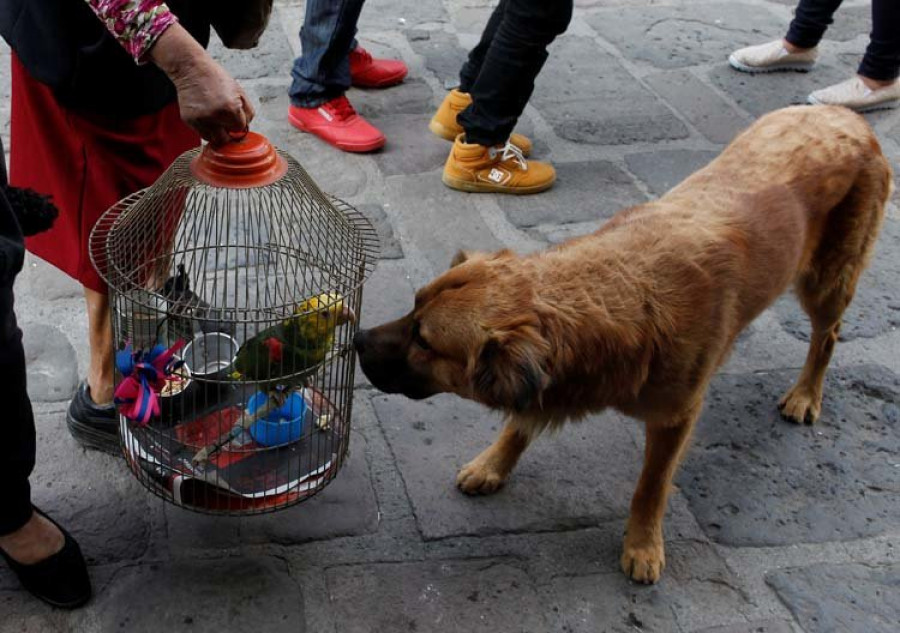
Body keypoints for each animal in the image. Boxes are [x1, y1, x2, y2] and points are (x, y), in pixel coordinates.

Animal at [354, 105, 892, 584]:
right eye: (412, 306)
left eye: (424, 341)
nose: (357, 339)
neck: (622, 297)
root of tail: (844, 114)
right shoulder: (545, 381)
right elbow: (520, 422)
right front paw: (493, 464)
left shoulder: (675, 417)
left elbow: (650, 487)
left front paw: (643, 545)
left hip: (827, 279)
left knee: (827, 337)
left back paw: (806, 394)